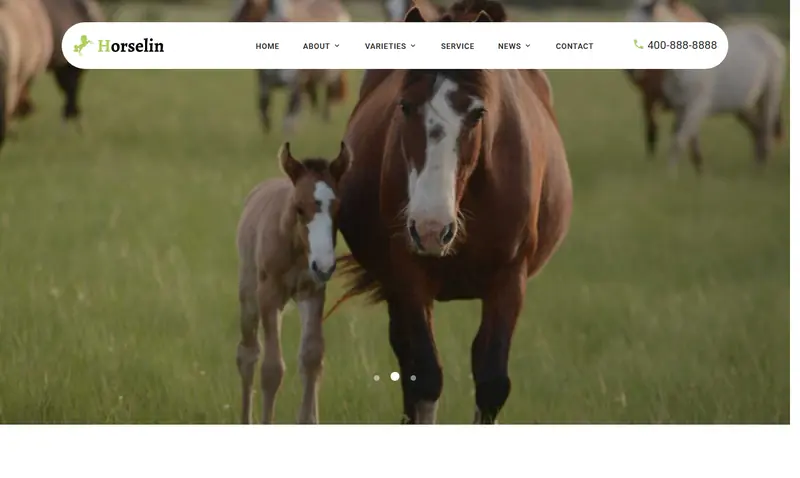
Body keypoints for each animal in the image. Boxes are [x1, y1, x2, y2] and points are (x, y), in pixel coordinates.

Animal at [230, 0, 350, 134]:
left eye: (251, 4)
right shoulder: (264, 86)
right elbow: (265, 116)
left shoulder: (294, 87)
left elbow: (288, 122)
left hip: (332, 76)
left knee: (327, 99)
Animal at [235, 141, 350, 424]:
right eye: (299, 208)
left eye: (338, 208)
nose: (324, 266)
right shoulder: (269, 295)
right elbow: (271, 368)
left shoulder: (313, 292)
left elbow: (311, 358)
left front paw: (308, 419)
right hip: (250, 295)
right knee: (247, 354)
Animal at [325, 0, 573, 424]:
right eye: (405, 106)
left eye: (477, 114)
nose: (430, 229)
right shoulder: (408, 275)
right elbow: (424, 377)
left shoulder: (510, 278)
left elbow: (491, 381)